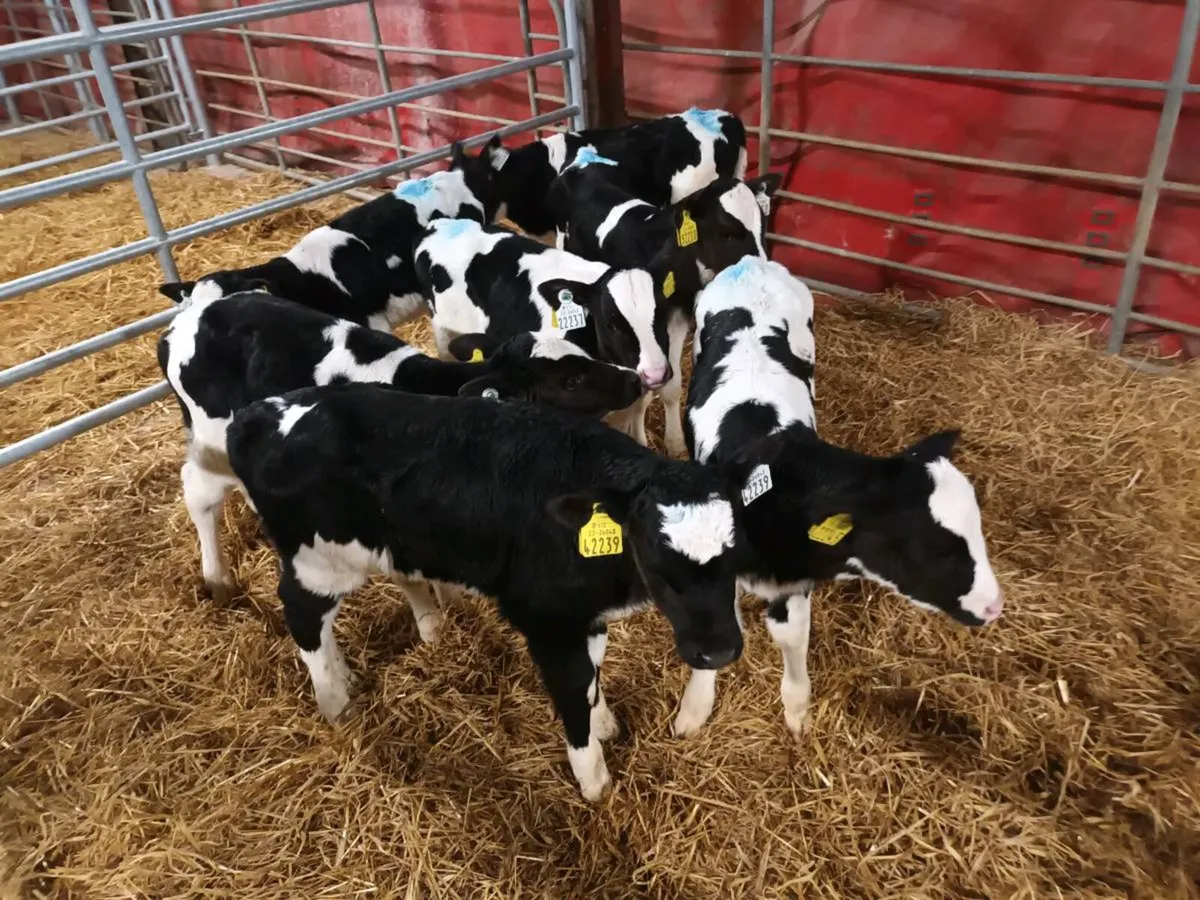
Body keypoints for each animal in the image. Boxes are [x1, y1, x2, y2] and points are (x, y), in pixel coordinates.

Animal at [158, 291, 643, 602]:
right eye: (571, 380)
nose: (635, 379)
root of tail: (183, 321)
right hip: (211, 441)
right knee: (198, 494)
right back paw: (217, 579)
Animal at [225, 383, 753, 799]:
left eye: (735, 554)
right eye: (657, 562)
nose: (719, 652)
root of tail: (259, 413)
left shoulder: (584, 614)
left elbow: (593, 676)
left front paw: (604, 721)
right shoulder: (547, 622)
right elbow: (572, 692)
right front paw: (594, 780)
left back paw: (348, 675)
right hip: (320, 561)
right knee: (302, 618)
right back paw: (335, 701)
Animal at [672, 256, 1004, 737]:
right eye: (932, 549)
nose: (994, 605)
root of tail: (752, 262)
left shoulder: (794, 582)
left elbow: (791, 637)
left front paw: (796, 711)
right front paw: (694, 708)